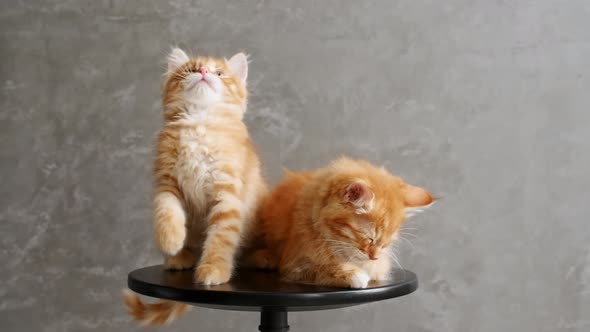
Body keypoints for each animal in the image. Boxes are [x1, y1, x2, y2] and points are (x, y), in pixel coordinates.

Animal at [125, 48, 268, 324]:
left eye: (219, 73)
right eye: (191, 70)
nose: (203, 72)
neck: (198, 123)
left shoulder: (227, 193)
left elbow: (221, 237)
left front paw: (214, 268)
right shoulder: (167, 182)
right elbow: (166, 213)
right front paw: (171, 241)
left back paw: (262, 257)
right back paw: (179, 257)